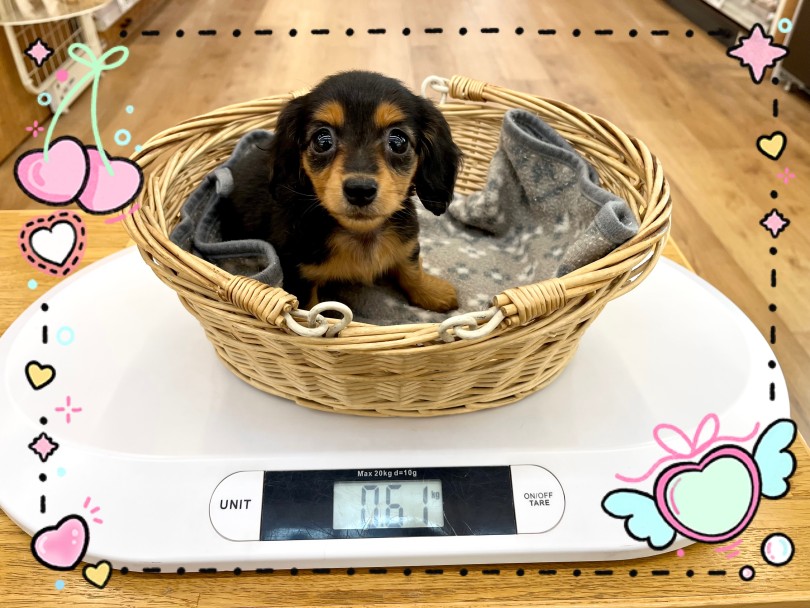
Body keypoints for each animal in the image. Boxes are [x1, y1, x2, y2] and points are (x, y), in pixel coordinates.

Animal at [222, 71, 462, 312]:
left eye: (398, 141)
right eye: (322, 140)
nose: (360, 190)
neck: (361, 234)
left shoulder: (406, 241)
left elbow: (410, 267)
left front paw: (431, 291)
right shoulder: (297, 273)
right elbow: (309, 309)